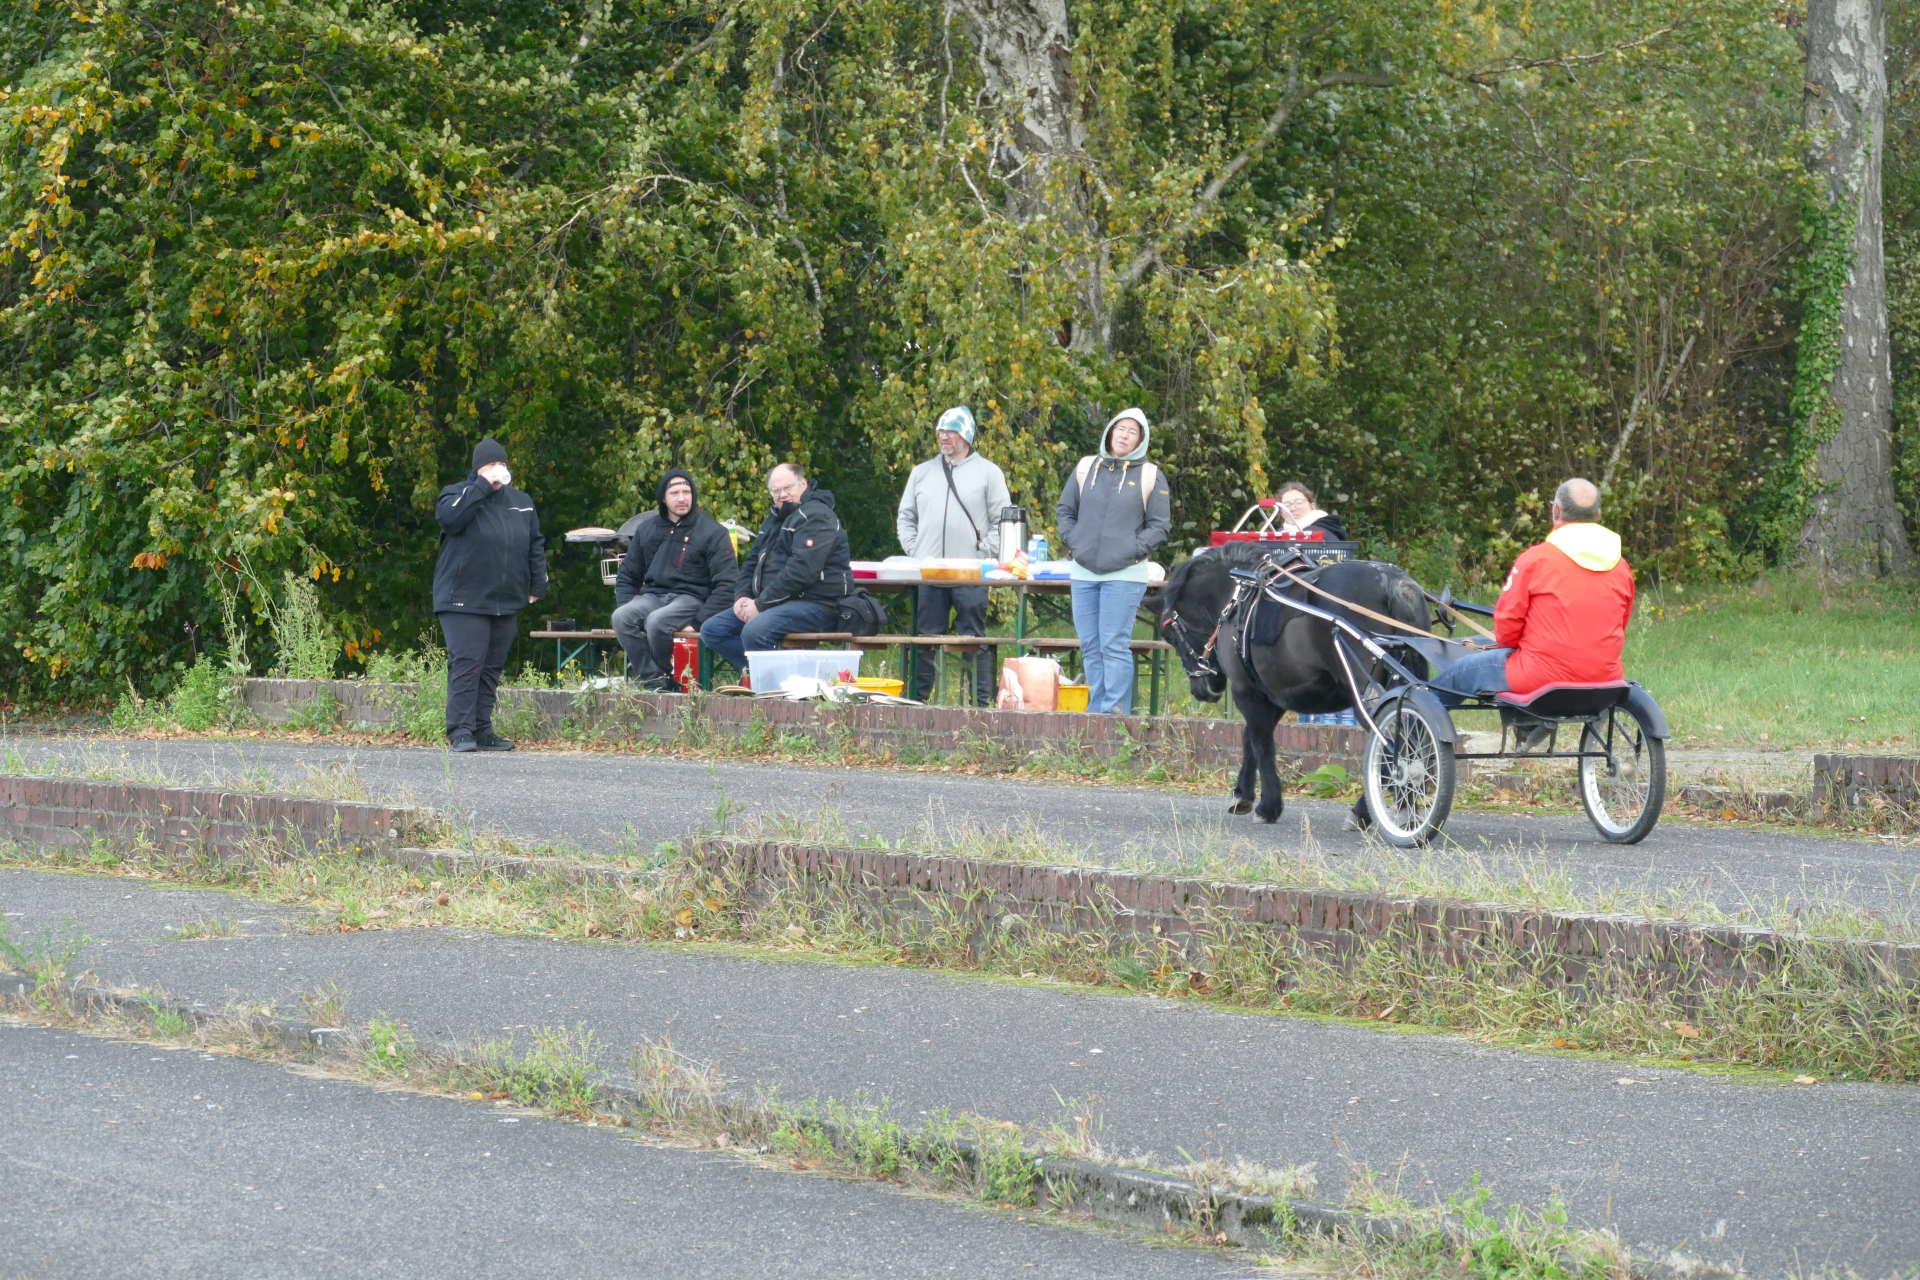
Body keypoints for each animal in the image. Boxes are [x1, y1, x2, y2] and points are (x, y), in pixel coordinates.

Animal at [1157, 542, 1433, 824]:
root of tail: (1392, 581)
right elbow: (1249, 738)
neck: (1238, 596)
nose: (1203, 690)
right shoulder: (1273, 694)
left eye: (1169, 633)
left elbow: (1261, 743)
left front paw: (1268, 806)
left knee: (1396, 749)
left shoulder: (1245, 690)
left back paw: (1374, 810)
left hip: (1368, 697)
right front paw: (1243, 794)